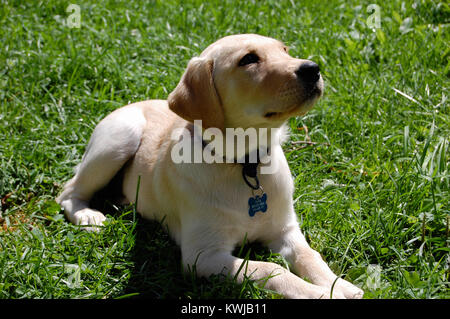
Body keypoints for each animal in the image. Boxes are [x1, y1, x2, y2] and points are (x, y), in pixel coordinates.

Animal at [57, 33, 366, 298]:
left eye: (285, 50)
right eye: (248, 59)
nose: (313, 69)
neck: (245, 165)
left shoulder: (285, 229)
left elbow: (309, 255)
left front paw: (339, 285)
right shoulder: (202, 255)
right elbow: (270, 269)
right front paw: (320, 293)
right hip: (120, 138)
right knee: (68, 191)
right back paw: (88, 216)